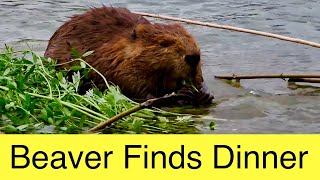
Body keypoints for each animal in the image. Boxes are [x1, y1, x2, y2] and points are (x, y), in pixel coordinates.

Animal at [43, 6, 214, 105]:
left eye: (191, 39)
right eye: (163, 43)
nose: (193, 57)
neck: (118, 50)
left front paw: (204, 94)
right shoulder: (118, 66)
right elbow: (136, 88)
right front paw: (179, 94)